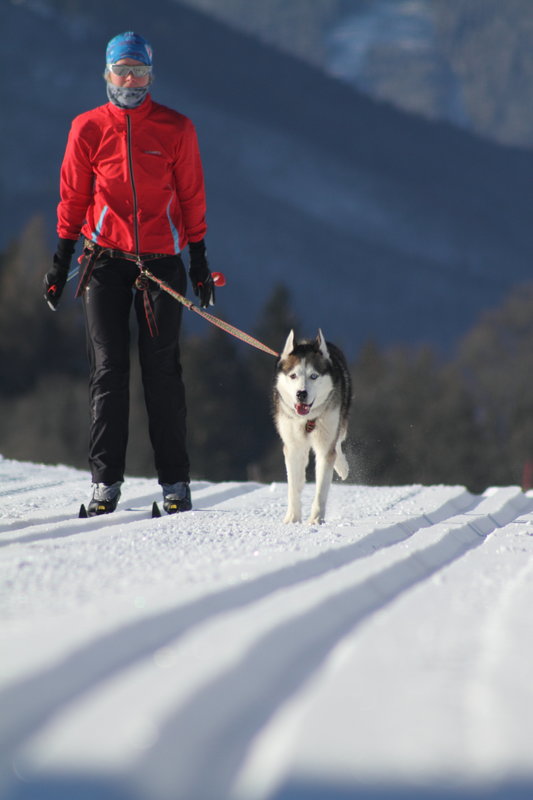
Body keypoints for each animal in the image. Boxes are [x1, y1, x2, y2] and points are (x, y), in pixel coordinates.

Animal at [272, 328, 352, 520]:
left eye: (313, 376)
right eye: (293, 375)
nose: (301, 393)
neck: (306, 419)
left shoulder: (325, 444)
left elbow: (321, 489)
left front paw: (315, 520)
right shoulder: (292, 446)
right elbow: (293, 486)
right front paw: (292, 518)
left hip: (340, 421)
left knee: (337, 443)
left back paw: (342, 467)